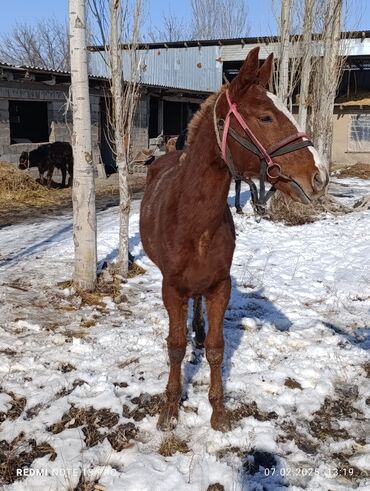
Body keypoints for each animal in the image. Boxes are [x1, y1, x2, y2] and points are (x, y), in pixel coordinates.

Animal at [140, 48, 328, 432]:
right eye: (266, 117)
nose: (320, 176)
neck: (193, 223)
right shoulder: (172, 289)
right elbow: (175, 347)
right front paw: (170, 410)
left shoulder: (219, 286)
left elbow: (215, 347)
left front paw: (218, 412)